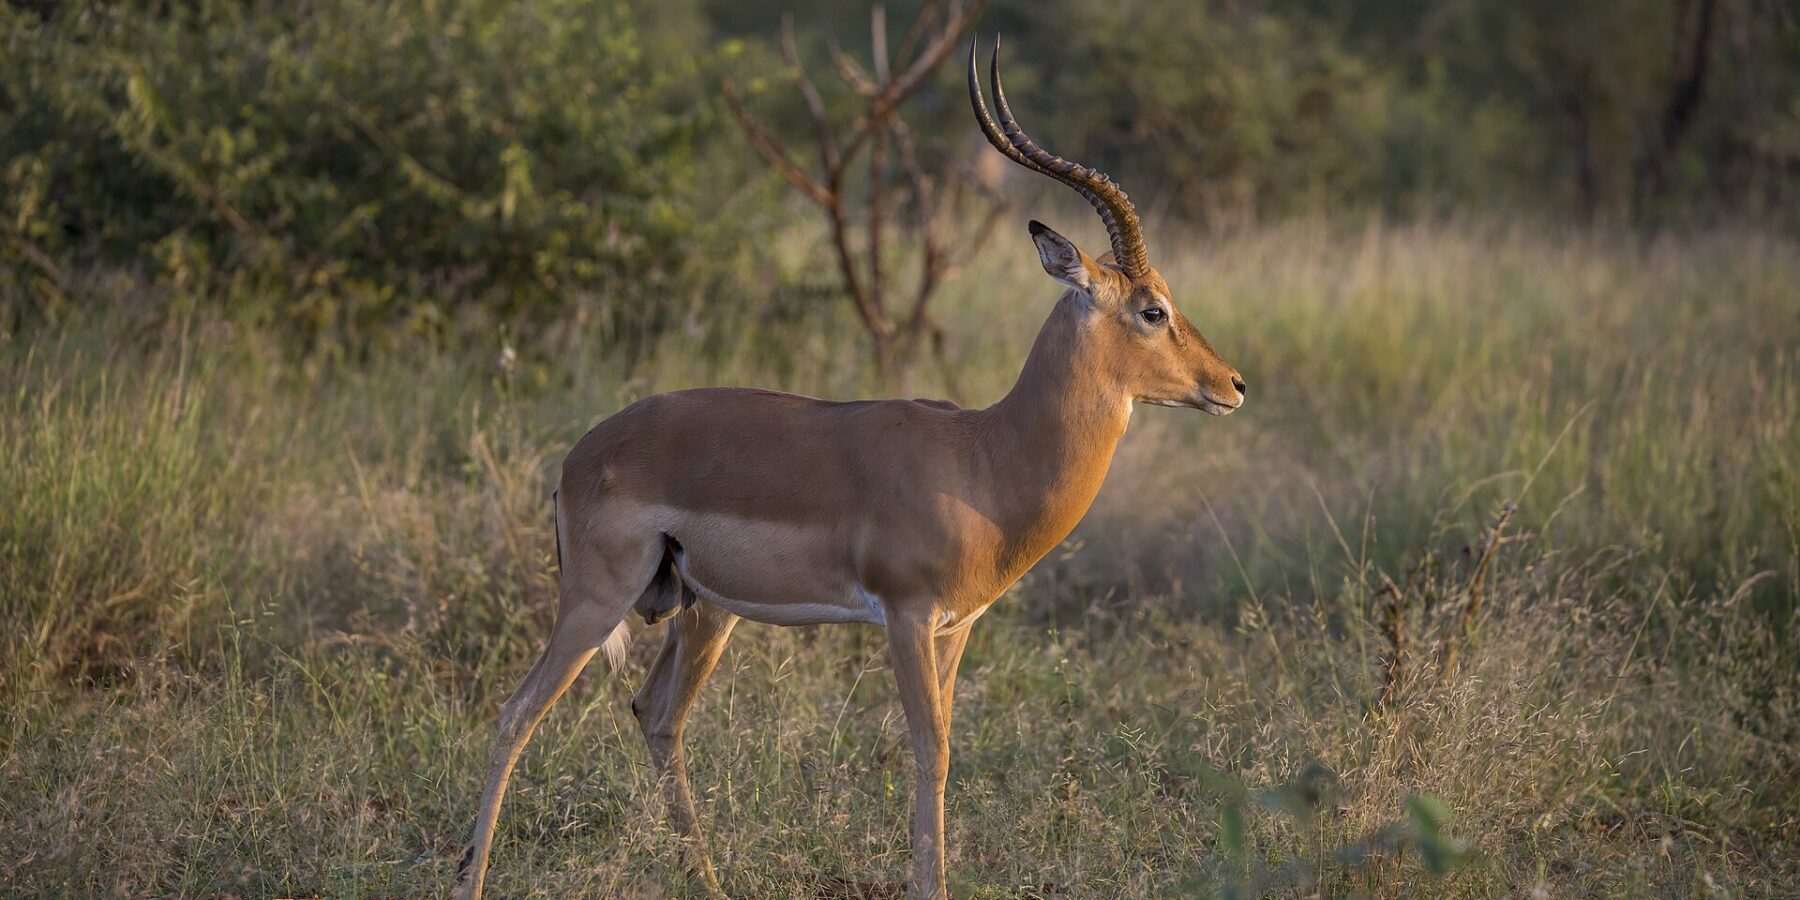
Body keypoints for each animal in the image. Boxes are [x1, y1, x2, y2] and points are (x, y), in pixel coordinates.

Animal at [454, 37, 1246, 900]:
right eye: (1152, 310)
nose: (1233, 385)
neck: (985, 456)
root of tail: (579, 456)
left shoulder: (957, 627)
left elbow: (944, 747)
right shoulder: (904, 616)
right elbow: (929, 751)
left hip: (704, 610)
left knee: (656, 715)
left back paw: (710, 882)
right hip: (599, 598)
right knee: (516, 714)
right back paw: (471, 877)